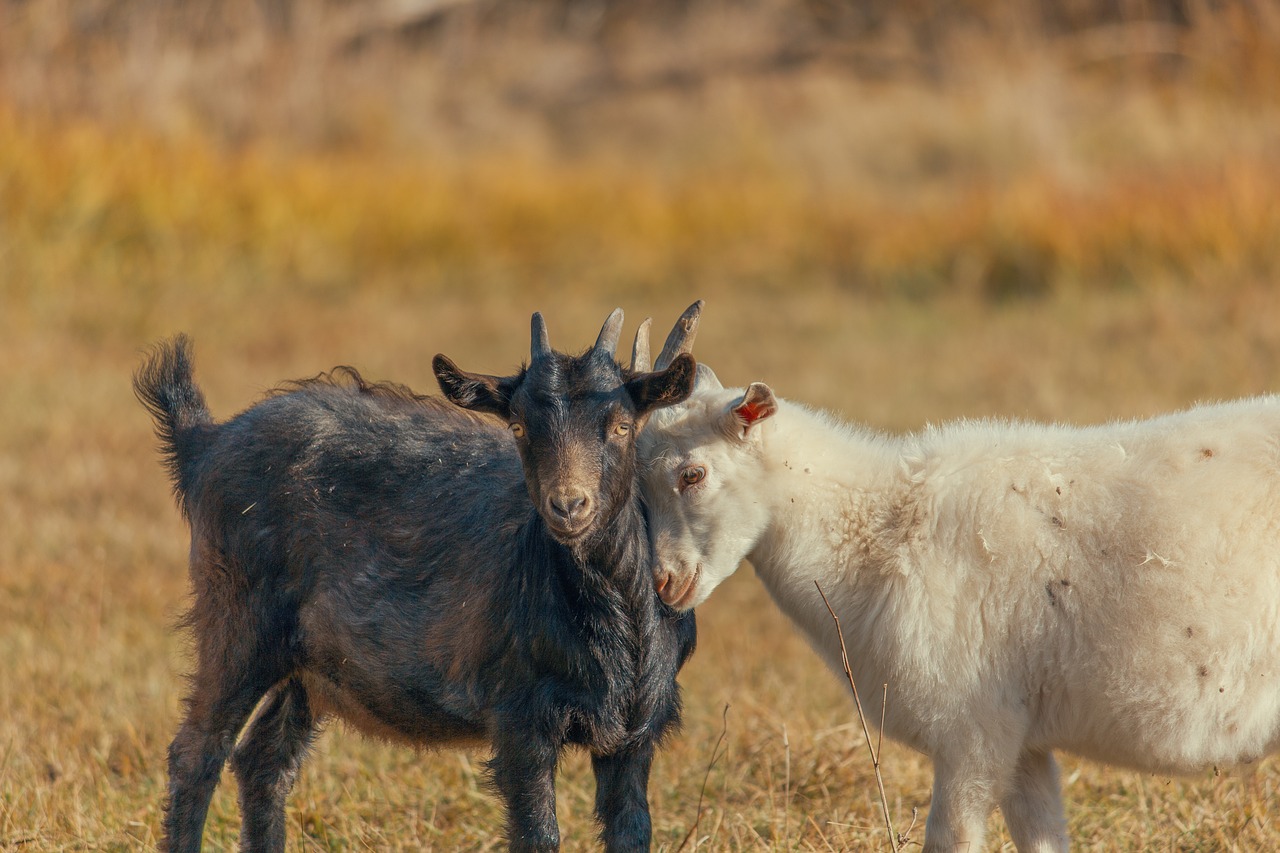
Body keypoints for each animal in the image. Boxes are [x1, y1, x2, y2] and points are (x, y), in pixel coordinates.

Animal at [132, 306, 701, 850]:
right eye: (518, 426)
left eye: (622, 425)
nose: (569, 505)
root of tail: (204, 443)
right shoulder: (520, 717)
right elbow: (537, 833)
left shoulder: (634, 731)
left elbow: (632, 830)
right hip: (235, 620)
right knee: (196, 754)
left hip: (308, 666)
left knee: (262, 762)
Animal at [640, 348, 1280, 845]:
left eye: (692, 475)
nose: (664, 584)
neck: (882, 530)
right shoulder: (1022, 742)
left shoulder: (971, 729)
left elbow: (952, 838)